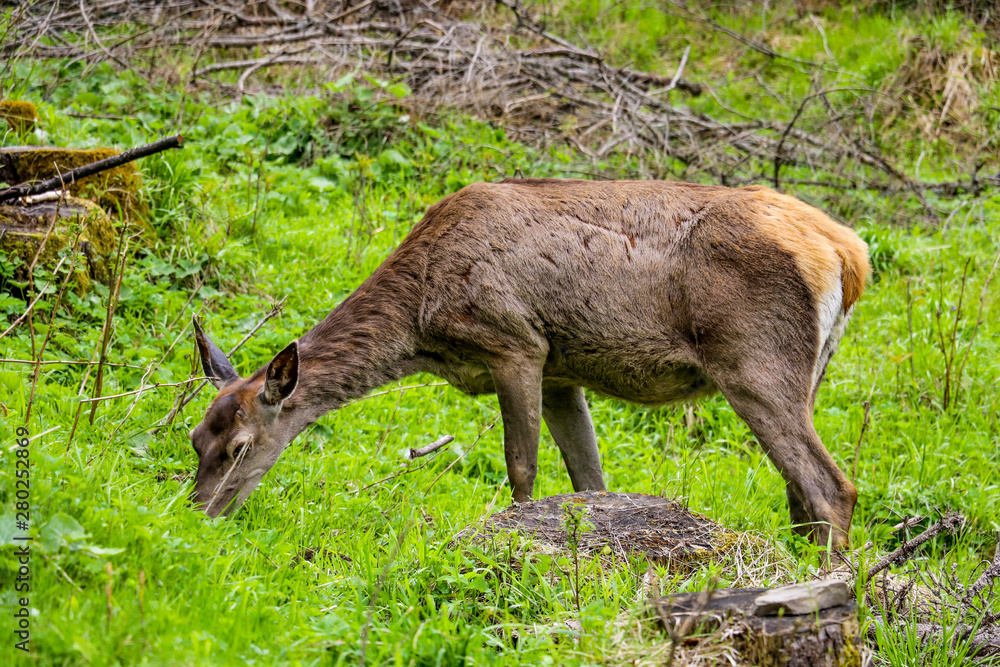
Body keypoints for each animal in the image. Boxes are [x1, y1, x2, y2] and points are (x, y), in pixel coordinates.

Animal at [188, 179, 870, 549]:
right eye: (196, 437)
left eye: (241, 447)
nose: (197, 514)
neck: (422, 320)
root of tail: (848, 253)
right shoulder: (565, 371)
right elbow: (590, 479)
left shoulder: (515, 341)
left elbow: (521, 468)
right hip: (808, 371)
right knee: (800, 493)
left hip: (754, 363)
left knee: (830, 486)